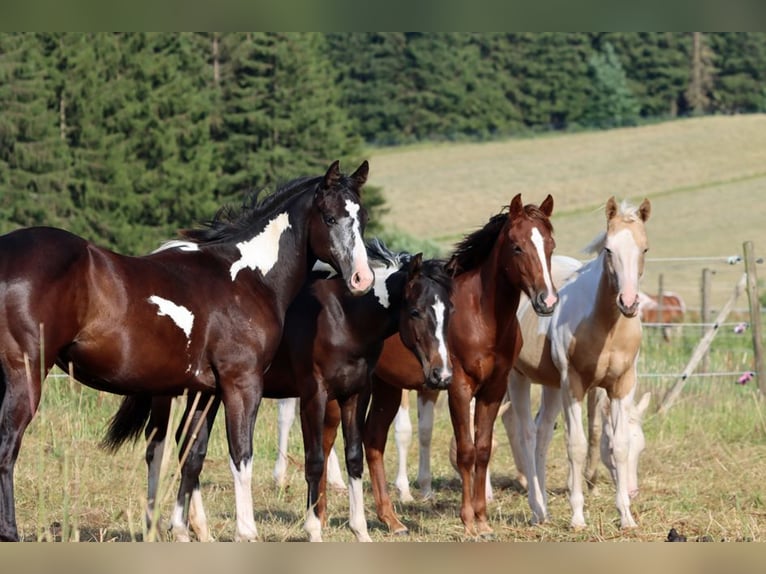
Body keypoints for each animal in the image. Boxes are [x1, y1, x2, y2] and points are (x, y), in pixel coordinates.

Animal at [0, 159, 374, 542]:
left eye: (362, 218)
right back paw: (10, 532)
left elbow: (193, 456)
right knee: (8, 447)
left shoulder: (205, 391)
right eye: (329, 217)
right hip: (26, 376)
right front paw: (246, 532)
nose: (362, 279)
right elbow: (241, 455)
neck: (247, 277)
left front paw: (182, 529)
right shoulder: (242, 385)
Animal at [104, 238, 453, 542]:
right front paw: (314, 530)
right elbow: (315, 459)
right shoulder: (314, 395)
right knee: (158, 445)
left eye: (449, 310)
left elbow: (355, 457)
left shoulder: (356, 393)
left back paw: (199, 529)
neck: (344, 317)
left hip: (206, 391)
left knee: (186, 443)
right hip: (169, 391)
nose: (442, 375)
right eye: (415, 311)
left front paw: (361, 532)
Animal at [362, 194, 558, 537]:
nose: (546, 301)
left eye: (550, 245)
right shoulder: (458, 388)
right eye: (517, 247)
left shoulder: (493, 390)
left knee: (373, 442)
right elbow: (466, 451)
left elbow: (483, 449)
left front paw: (483, 521)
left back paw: (392, 520)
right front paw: (468, 521)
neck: (481, 318)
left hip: (387, 388)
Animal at [505, 197, 651, 530]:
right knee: (525, 432)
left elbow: (616, 443)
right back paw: (535, 508)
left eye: (645, 248)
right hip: (517, 377)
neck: (605, 325)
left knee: (542, 434)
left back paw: (544, 508)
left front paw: (626, 516)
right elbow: (576, 445)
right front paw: (577, 516)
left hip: (550, 386)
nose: (628, 302)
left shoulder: (621, 384)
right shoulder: (572, 384)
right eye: (608, 249)